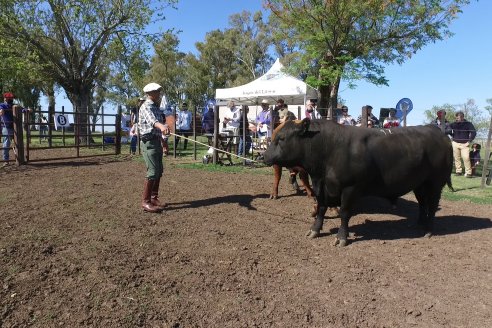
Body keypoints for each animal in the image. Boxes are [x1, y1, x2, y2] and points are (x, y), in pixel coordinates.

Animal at [266, 120, 454, 246]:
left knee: (432, 205)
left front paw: (341, 237)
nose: (264, 156)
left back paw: (428, 229)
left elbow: (344, 212)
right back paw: (420, 224)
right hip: (419, 184)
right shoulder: (321, 185)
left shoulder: (351, 188)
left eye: (281, 138)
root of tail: (438, 132)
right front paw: (314, 230)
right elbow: (321, 207)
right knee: (422, 203)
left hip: (435, 183)